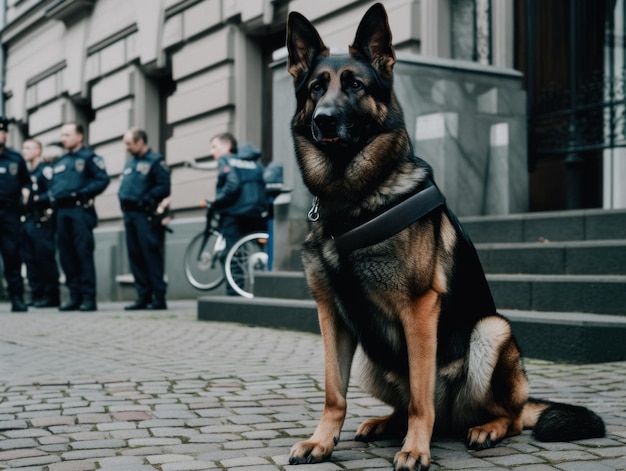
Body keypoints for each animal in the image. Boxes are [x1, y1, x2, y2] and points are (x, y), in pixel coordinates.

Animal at [286, 3, 604, 471]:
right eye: (315, 88)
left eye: (355, 85)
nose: (323, 120)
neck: (352, 203)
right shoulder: (331, 315)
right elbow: (333, 391)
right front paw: (321, 442)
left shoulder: (419, 309)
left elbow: (422, 398)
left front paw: (416, 450)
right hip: (369, 357)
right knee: (407, 405)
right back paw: (384, 422)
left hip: (491, 330)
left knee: (505, 415)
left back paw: (486, 428)